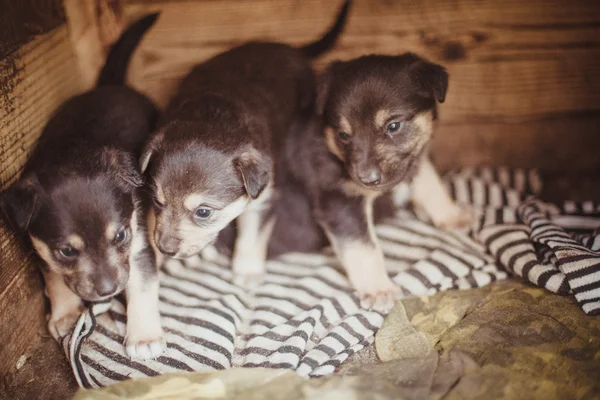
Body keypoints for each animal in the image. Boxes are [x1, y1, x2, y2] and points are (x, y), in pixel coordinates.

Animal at [0, 13, 164, 360]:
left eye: (120, 236)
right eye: (66, 251)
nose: (107, 291)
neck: (73, 151)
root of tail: (110, 86)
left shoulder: (138, 241)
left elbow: (142, 284)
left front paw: (144, 337)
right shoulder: (42, 249)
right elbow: (55, 280)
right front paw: (65, 315)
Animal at [139, 1, 352, 286]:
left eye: (203, 212)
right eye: (157, 202)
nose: (165, 248)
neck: (212, 115)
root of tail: (285, 47)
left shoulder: (263, 196)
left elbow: (252, 234)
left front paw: (248, 270)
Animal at [268, 52, 474, 312]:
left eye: (393, 126)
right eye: (343, 135)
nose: (366, 179)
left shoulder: (414, 161)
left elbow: (431, 184)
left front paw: (452, 216)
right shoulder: (341, 200)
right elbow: (363, 247)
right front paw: (379, 289)